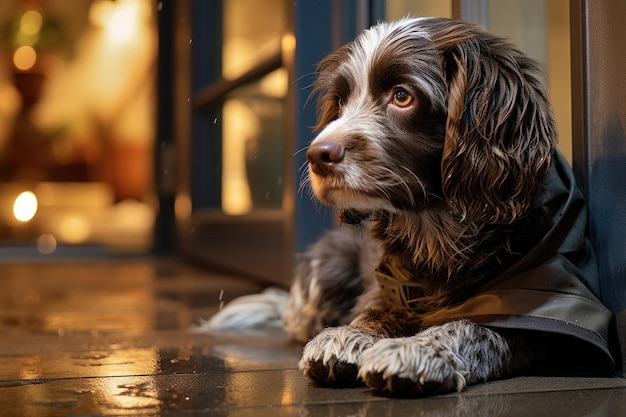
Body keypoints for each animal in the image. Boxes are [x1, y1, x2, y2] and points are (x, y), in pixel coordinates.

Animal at [282, 17, 616, 394]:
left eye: (402, 96)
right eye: (340, 101)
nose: (316, 156)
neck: (438, 225)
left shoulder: (537, 308)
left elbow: (472, 328)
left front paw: (416, 349)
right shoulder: (390, 287)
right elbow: (372, 311)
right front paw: (346, 336)